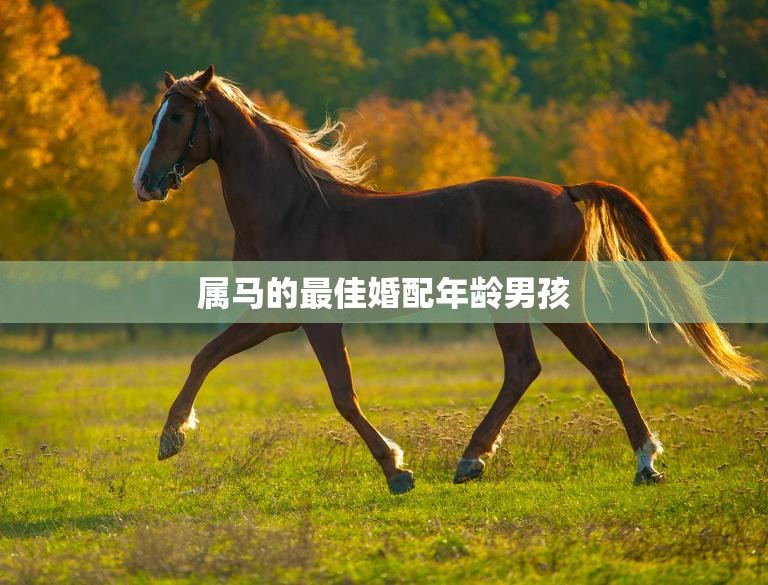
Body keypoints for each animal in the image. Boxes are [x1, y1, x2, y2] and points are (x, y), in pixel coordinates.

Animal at [133, 65, 760, 494]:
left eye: (179, 117)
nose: (144, 183)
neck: (292, 209)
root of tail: (566, 192)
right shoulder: (275, 314)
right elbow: (206, 356)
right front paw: (172, 437)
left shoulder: (315, 319)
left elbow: (342, 394)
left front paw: (396, 470)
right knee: (583, 366)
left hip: (527, 301)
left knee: (550, 367)